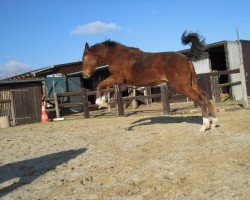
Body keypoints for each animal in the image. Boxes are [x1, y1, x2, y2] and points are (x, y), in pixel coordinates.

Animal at [82, 30, 219, 131]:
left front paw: (101, 103)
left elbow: (100, 85)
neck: (118, 57)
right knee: (206, 97)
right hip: (192, 84)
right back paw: (214, 123)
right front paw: (104, 102)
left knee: (200, 100)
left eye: (84, 58)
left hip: (182, 86)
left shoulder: (118, 78)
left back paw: (204, 126)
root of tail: (186, 59)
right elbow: (105, 87)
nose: (84, 75)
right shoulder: (117, 81)